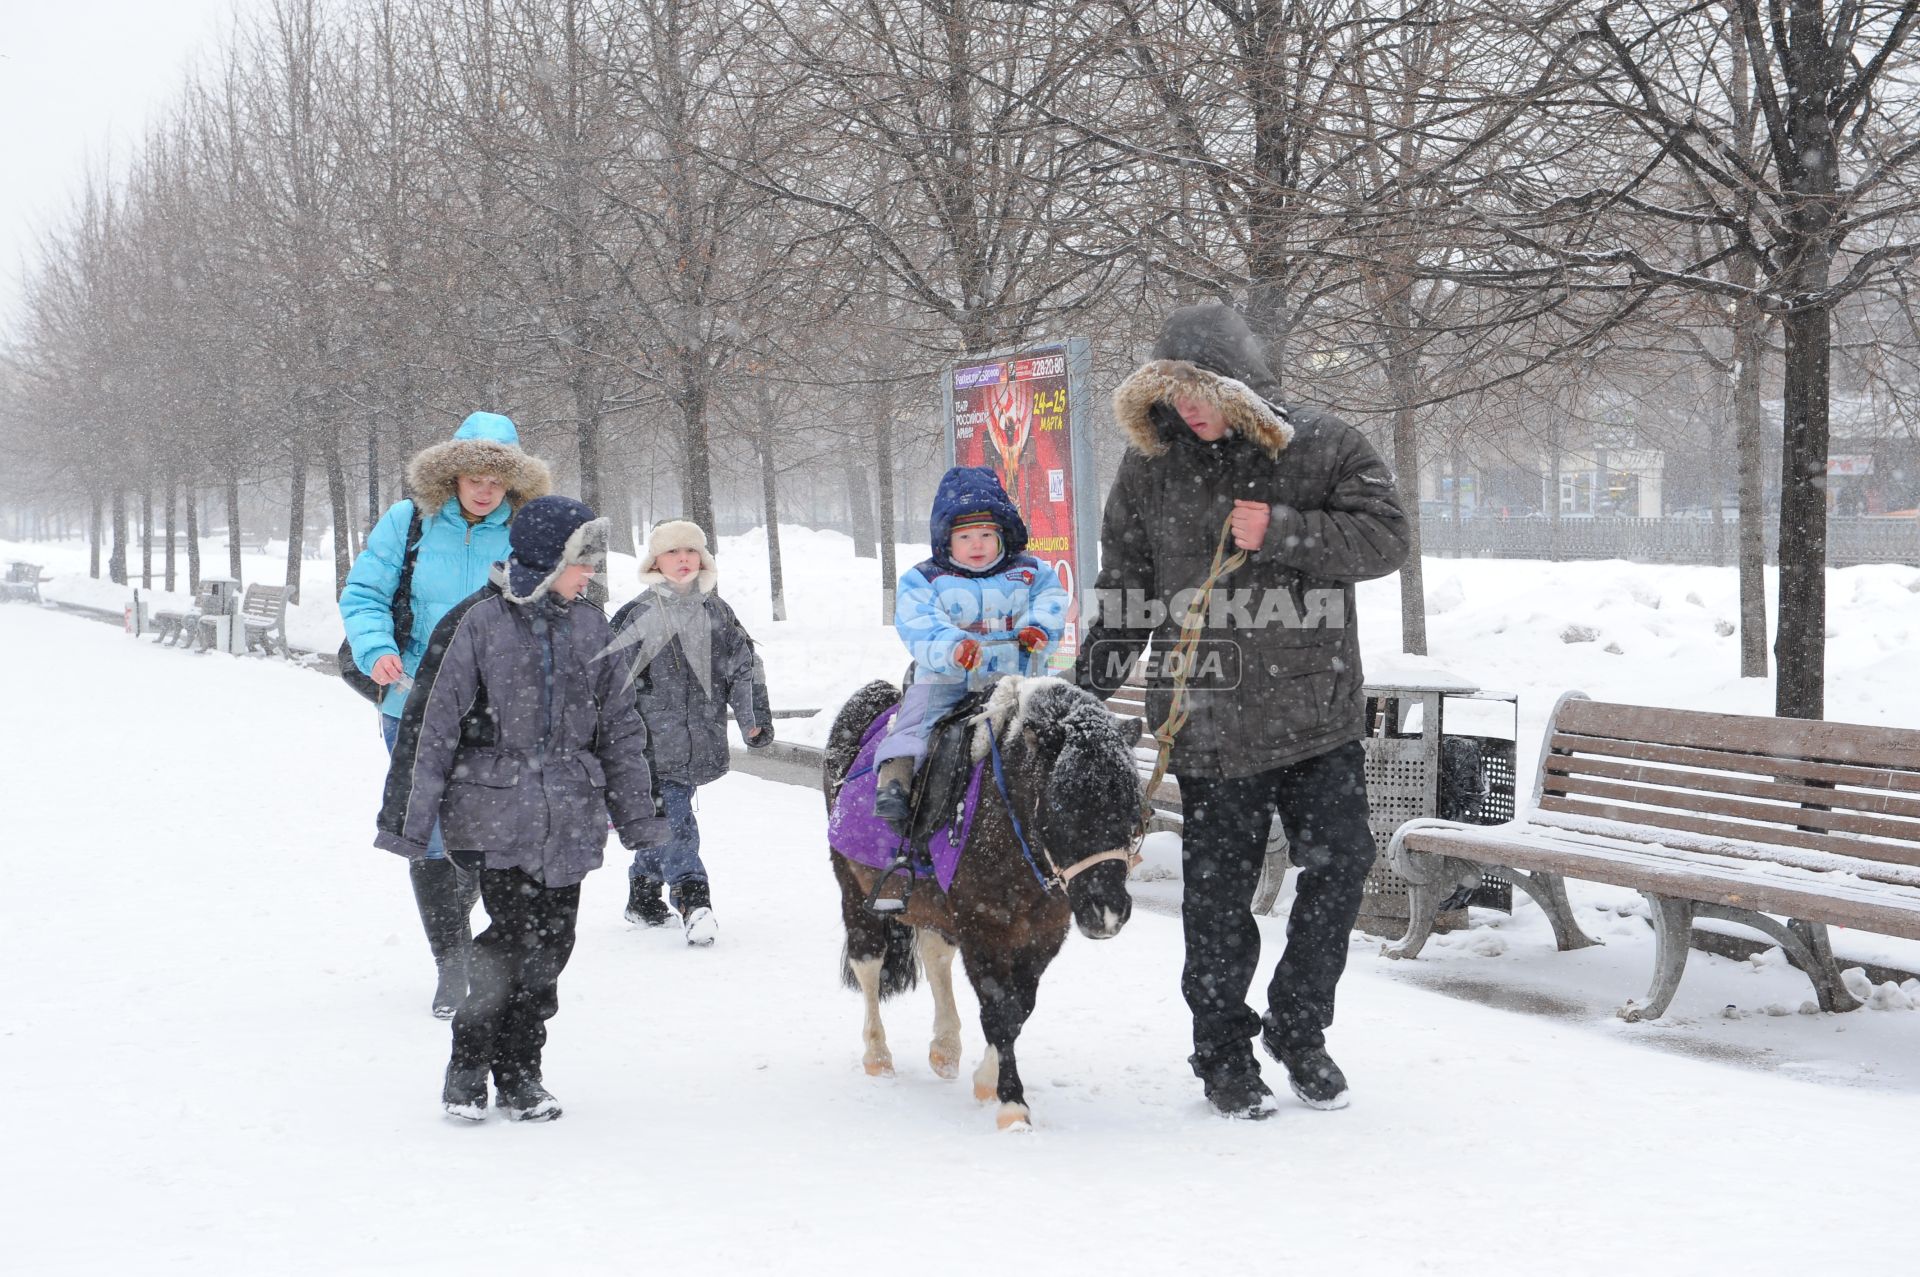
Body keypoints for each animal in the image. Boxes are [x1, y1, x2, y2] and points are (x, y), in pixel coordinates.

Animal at [821, 675, 1136, 1129]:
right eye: (1063, 805)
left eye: (1132, 805)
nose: (1106, 913)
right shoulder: (983, 929)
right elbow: (998, 1010)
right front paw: (1012, 1104)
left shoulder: (1046, 932)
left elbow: (1019, 1009)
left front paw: (988, 1080)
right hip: (854, 887)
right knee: (869, 963)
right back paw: (877, 1055)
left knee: (935, 957)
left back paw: (945, 1048)